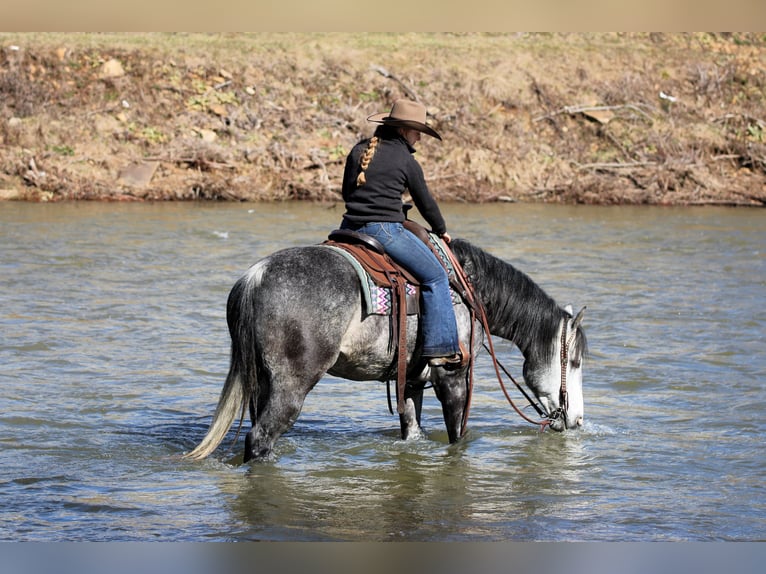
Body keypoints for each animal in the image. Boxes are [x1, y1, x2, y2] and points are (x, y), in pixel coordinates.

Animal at [185, 237, 588, 462]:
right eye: (574, 360)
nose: (577, 420)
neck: (468, 288)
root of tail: (257, 276)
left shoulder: (412, 378)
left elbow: (412, 428)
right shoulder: (453, 374)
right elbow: (457, 433)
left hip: (262, 385)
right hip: (291, 387)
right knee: (260, 438)